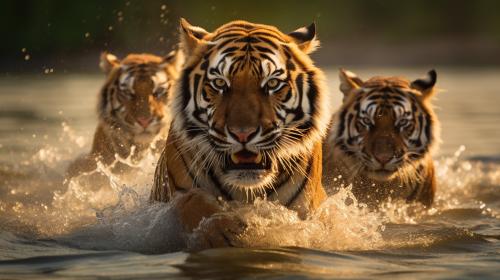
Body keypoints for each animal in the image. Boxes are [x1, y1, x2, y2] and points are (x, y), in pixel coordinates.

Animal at [150, 18, 334, 248]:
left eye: (272, 83)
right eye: (220, 83)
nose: (243, 134)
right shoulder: (178, 195)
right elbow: (192, 202)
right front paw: (222, 231)